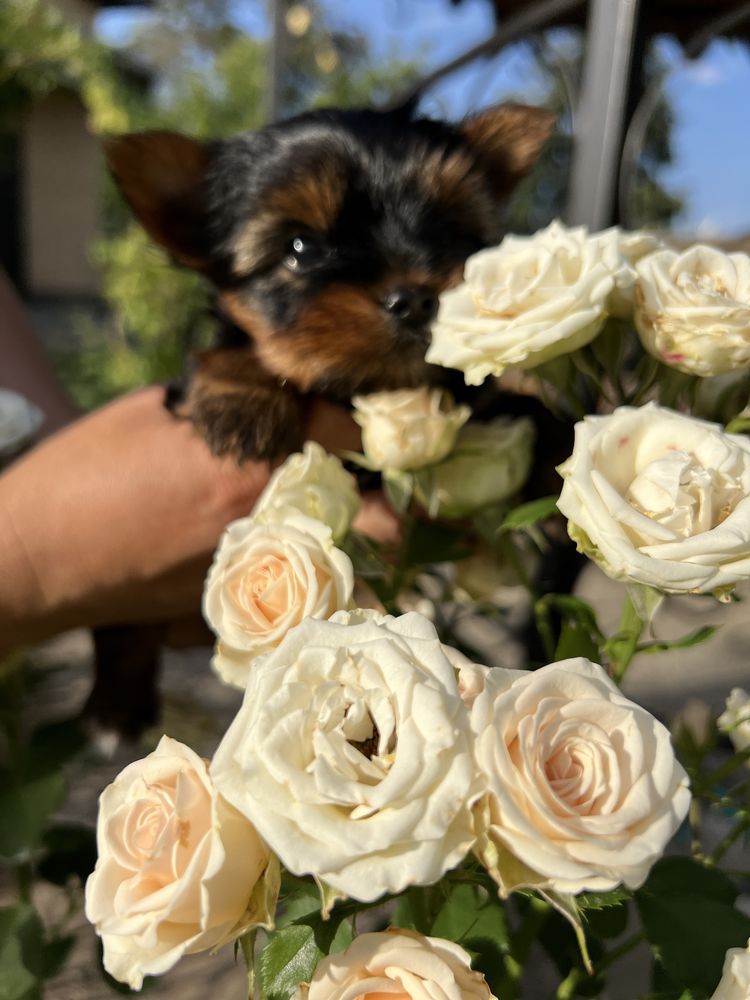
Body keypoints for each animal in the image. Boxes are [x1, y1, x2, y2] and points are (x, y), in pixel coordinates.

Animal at [88, 101, 556, 740]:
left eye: (449, 234)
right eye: (301, 248)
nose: (415, 297)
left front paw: (556, 445)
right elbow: (232, 353)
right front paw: (245, 402)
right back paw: (116, 702)